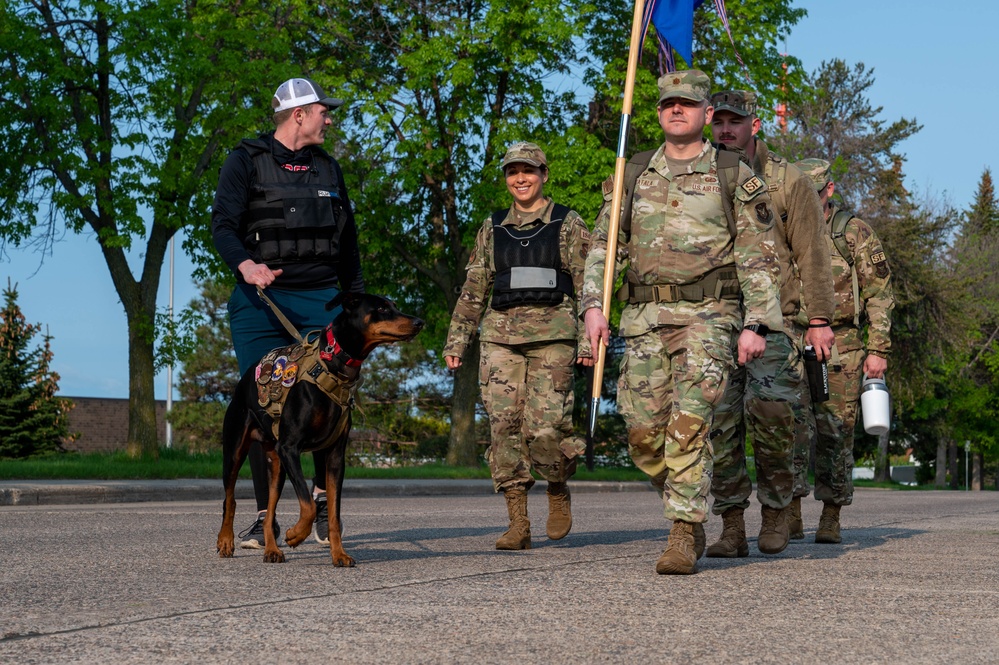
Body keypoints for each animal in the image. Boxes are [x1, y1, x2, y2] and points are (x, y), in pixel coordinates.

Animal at [217, 292, 424, 564]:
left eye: (395, 306)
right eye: (381, 308)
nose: (419, 322)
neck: (334, 366)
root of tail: (241, 383)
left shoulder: (335, 456)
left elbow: (332, 512)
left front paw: (339, 554)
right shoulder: (290, 447)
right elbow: (308, 504)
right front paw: (295, 535)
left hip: (277, 464)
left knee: (270, 511)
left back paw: (272, 550)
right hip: (235, 450)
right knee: (229, 499)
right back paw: (225, 541)